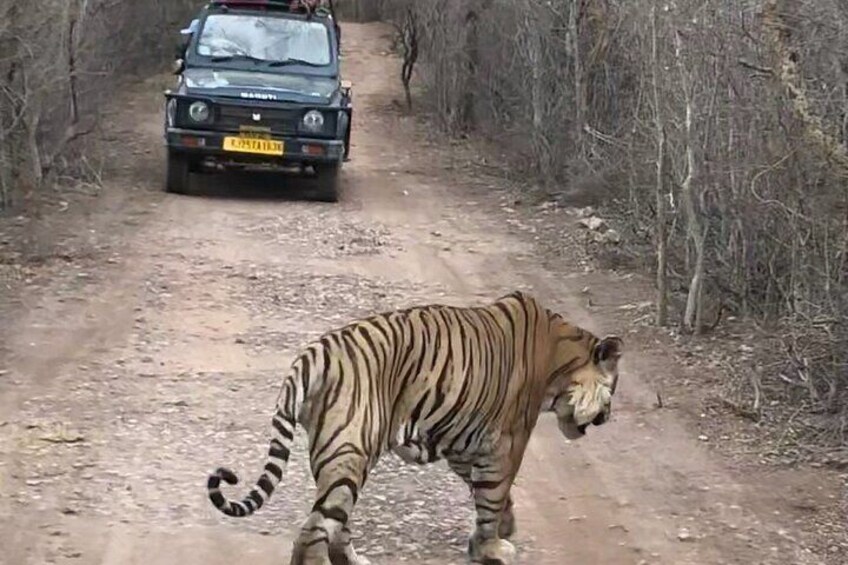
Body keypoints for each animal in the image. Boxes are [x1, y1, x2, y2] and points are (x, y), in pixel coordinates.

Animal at [205, 290, 624, 564]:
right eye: (614, 388)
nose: (606, 418)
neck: (560, 360)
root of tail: (312, 355)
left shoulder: (464, 443)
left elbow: (487, 494)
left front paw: (500, 530)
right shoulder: (507, 441)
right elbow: (493, 495)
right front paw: (492, 546)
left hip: (341, 458)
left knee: (333, 522)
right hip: (350, 452)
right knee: (313, 533)